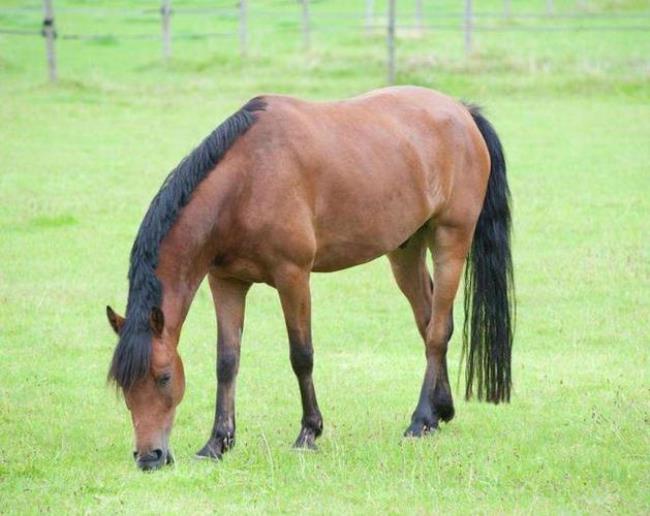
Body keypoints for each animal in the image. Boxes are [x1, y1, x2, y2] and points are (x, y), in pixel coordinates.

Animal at [105, 85, 512, 472]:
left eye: (163, 377)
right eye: (123, 386)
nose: (149, 456)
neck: (246, 180)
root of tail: (462, 112)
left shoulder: (293, 276)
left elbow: (301, 355)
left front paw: (308, 432)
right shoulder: (226, 282)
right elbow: (227, 361)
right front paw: (217, 443)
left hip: (450, 241)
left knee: (438, 330)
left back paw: (419, 420)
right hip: (406, 249)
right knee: (428, 323)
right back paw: (439, 412)